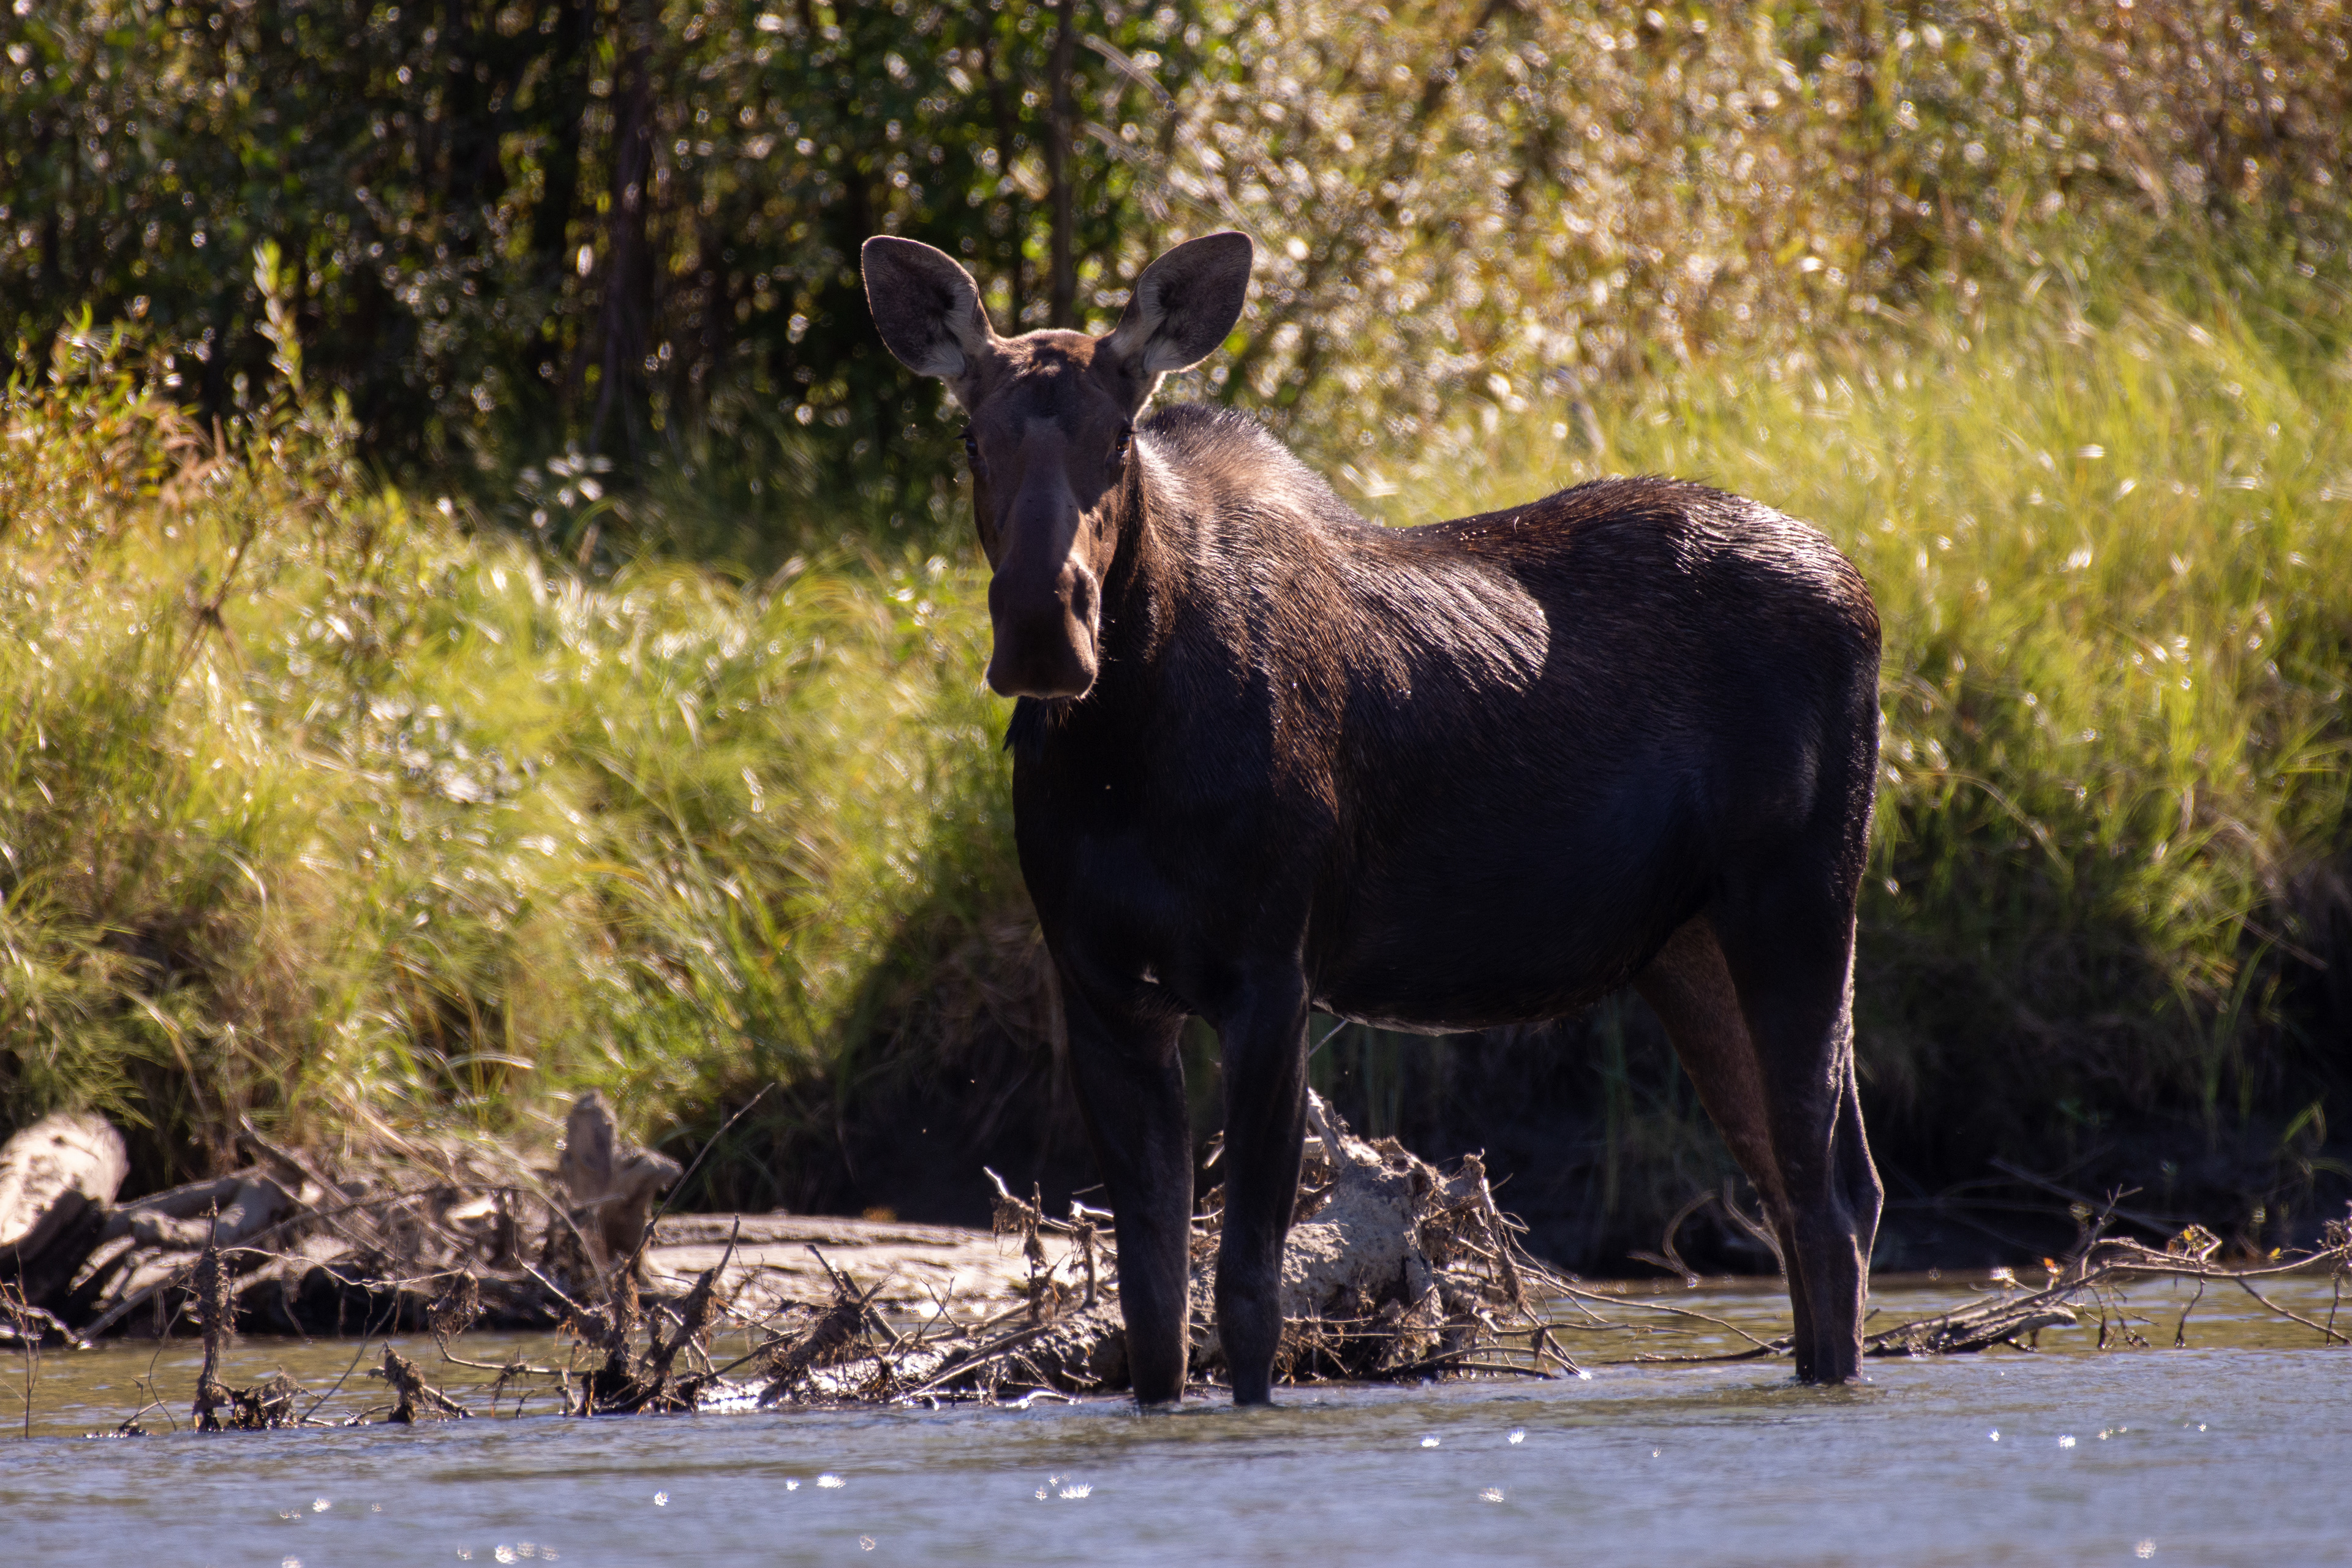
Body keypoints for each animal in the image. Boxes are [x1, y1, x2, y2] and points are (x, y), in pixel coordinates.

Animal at [861, 229, 1885, 1406]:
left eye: (1118, 435)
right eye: (969, 438)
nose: (1042, 627)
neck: (1125, 755)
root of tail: (1864, 595)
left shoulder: (1272, 971)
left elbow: (1248, 1293)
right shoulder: (1101, 988)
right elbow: (1151, 1308)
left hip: (1799, 900)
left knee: (1825, 1197)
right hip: (1687, 946)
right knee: (1815, 1190)